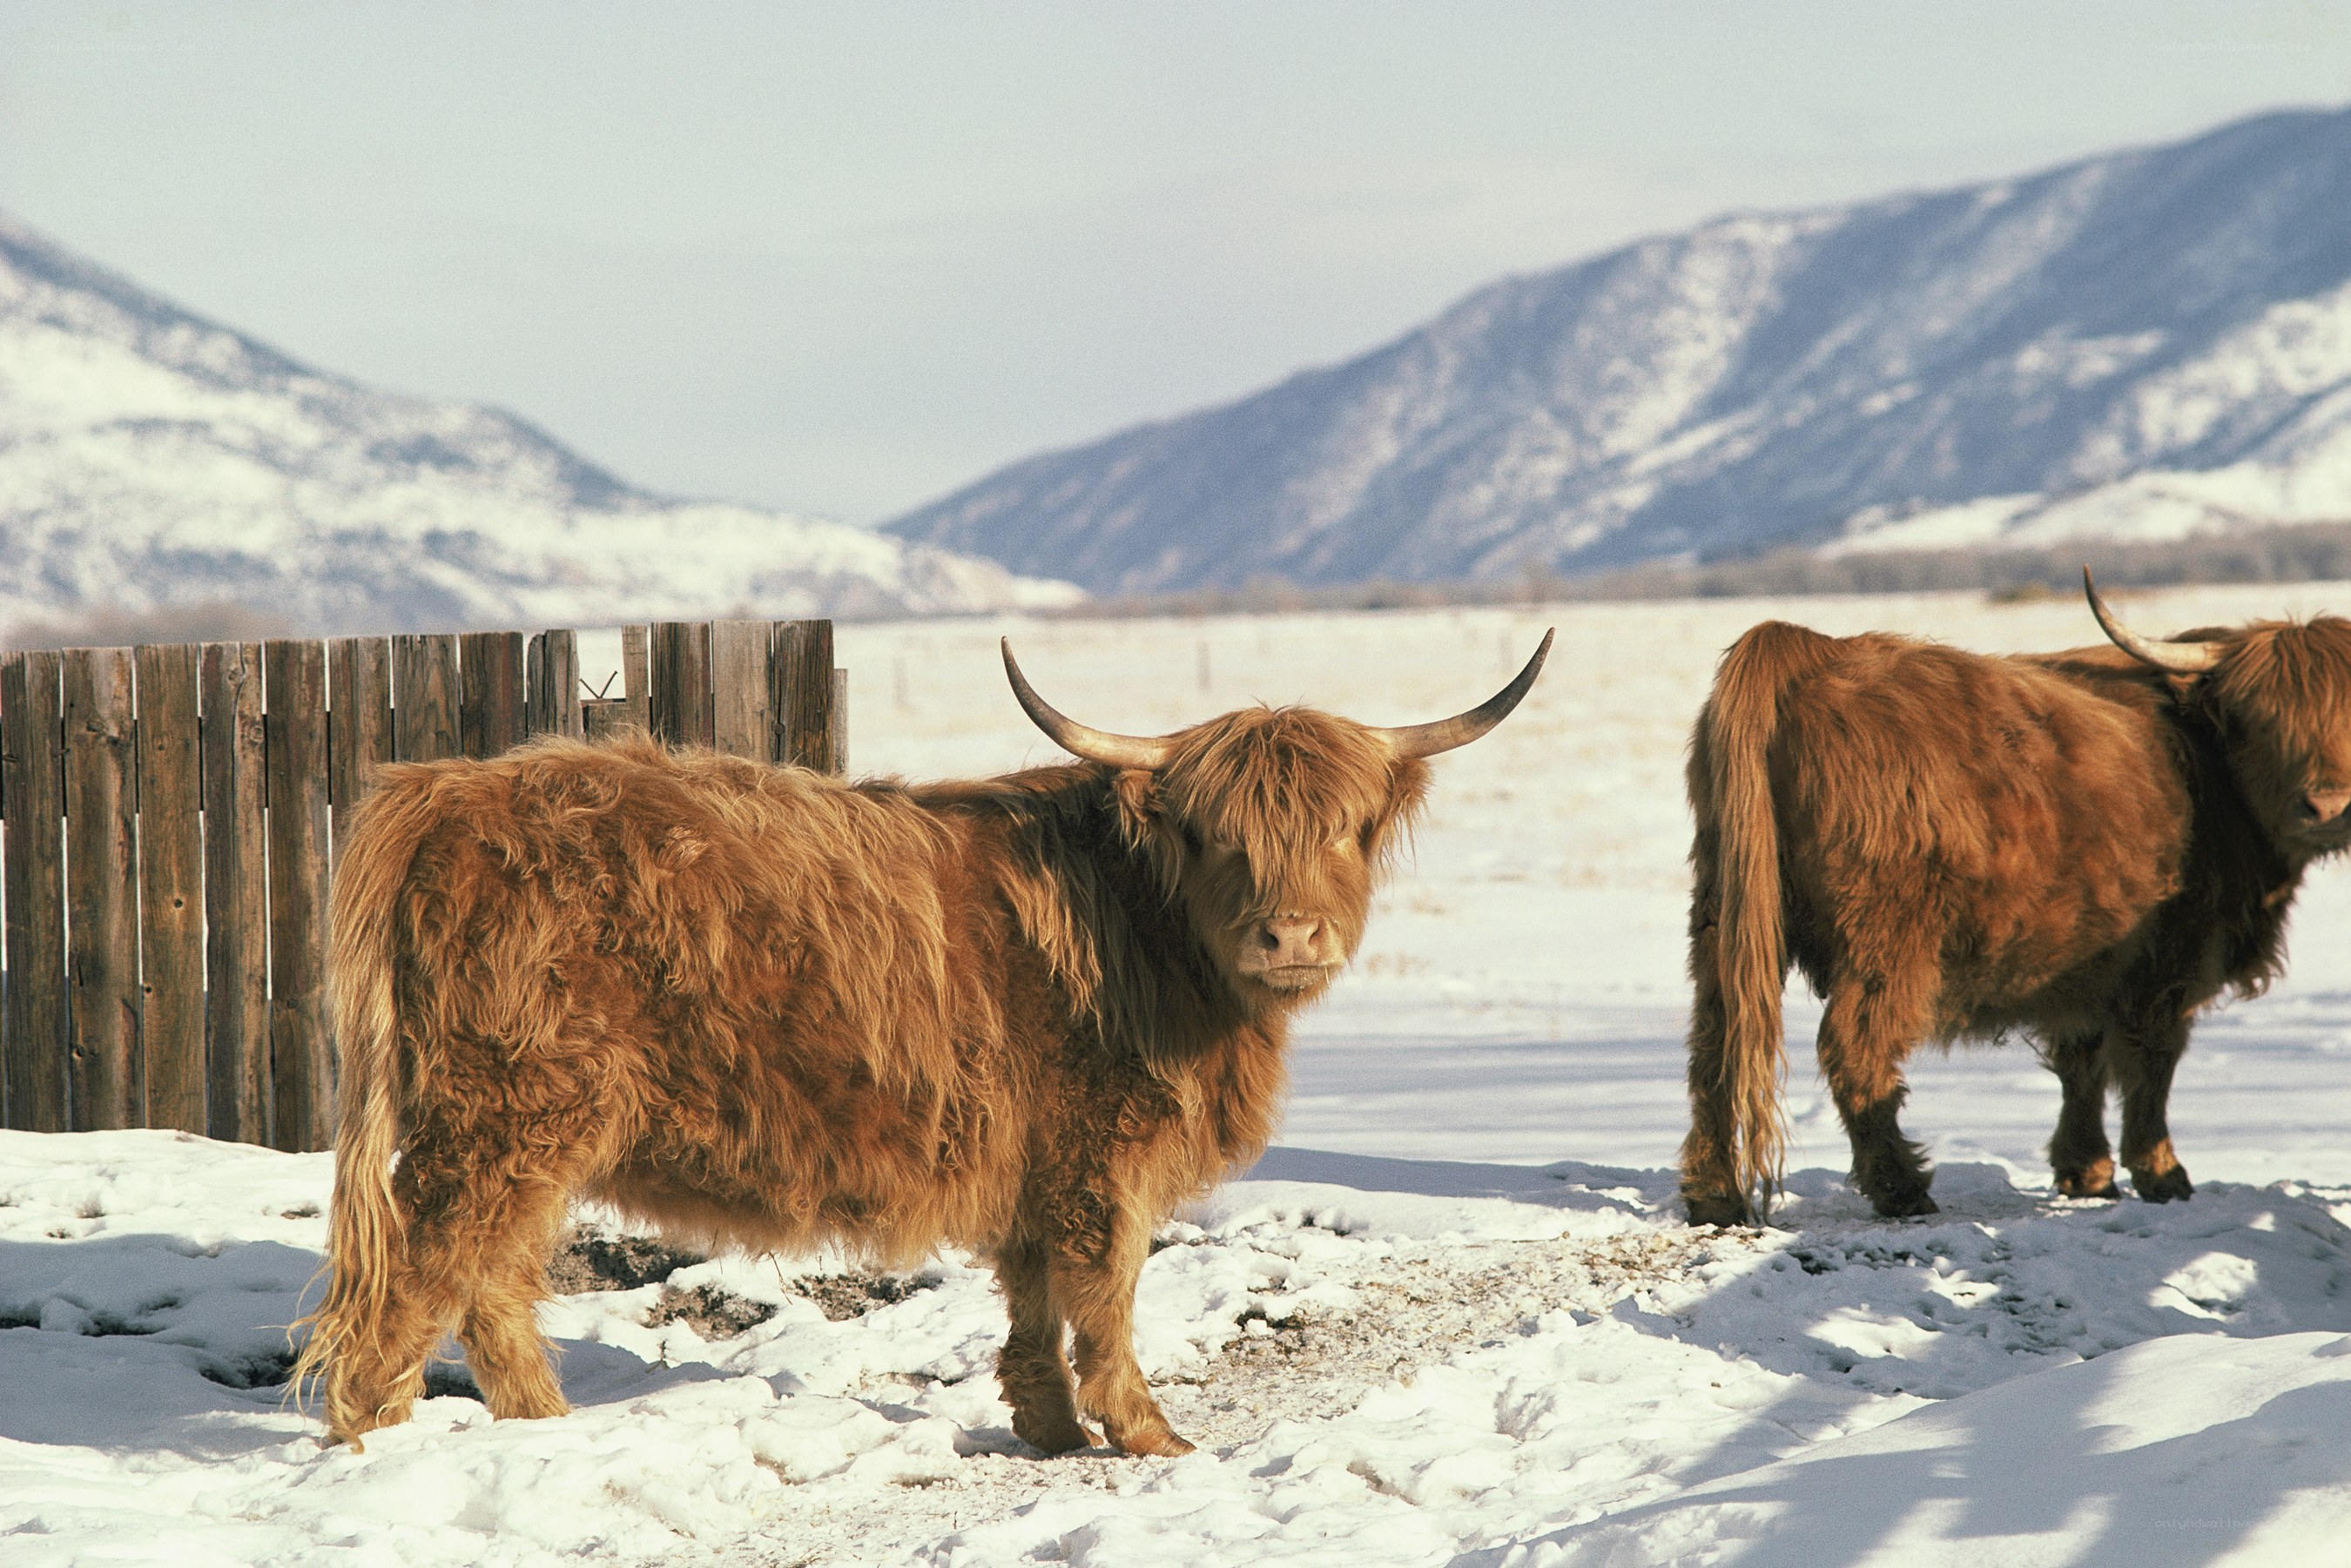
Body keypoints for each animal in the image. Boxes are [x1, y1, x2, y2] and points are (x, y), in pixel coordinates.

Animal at [291, 633, 1551, 1453]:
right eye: (1211, 832)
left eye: (1345, 827)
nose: (1286, 931)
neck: (1147, 922)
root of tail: (451, 788)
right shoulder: (1102, 1152)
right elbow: (1109, 1289)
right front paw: (1147, 1432)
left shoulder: (1039, 1159)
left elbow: (1037, 1296)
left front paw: (1050, 1427)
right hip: (507, 1114)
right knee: (419, 1282)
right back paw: (380, 1444)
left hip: (520, 1128)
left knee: (490, 1284)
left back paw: (545, 1430)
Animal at [1679, 575, 2351, 1227]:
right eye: (2257, 721)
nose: (2325, 807)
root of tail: (1808, 649)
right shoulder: (2173, 958)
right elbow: (2151, 1065)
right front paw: (2162, 1175)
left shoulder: (2088, 962)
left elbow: (2083, 1060)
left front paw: (2087, 1172)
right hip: (1888, 938)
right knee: (1853, 1047)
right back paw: (1903, 1189)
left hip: (1721, 915)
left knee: (1715, 1044)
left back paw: (1715, 1196)